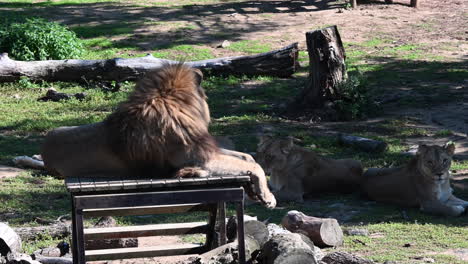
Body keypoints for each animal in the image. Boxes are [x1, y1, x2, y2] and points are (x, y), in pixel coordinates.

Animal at [42, 62, 276, 208]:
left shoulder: (207, 149)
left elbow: (247, 157)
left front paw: (255, 191)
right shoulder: (203, 158)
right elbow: (255, 165)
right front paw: (268, 197)